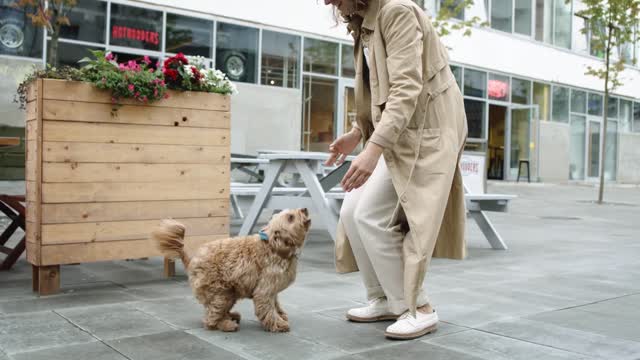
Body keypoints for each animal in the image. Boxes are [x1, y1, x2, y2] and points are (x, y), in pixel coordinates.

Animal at [150, 208, 310, 332]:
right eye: (290, 217)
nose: (304, 209)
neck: (274, 245)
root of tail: (191, 261)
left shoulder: (272, 289)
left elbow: (275, 304)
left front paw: (281, 315)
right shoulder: (265, 289)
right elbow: (267, 308)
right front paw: (278, 324)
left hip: (228, 293)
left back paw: (231, 316)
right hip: (221, 293)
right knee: (210, 318)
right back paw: (226, 325)